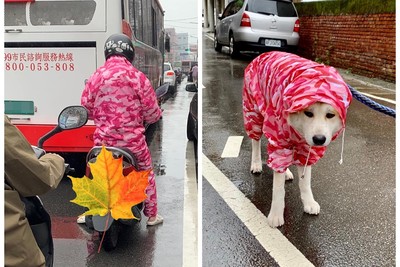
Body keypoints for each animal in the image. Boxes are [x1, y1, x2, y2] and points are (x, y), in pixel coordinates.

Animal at [242, 51, 352, 228]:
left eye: (330, 115)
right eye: (308, 113)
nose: (319, 139)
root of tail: (266, 53)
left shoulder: (307, 149)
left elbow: (305, 182)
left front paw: (309, 202)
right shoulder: (279, 139)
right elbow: (278, 188)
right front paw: (276, 215)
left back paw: (286, 172)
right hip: (253, 112)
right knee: (256, 142)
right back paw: (257, 164)